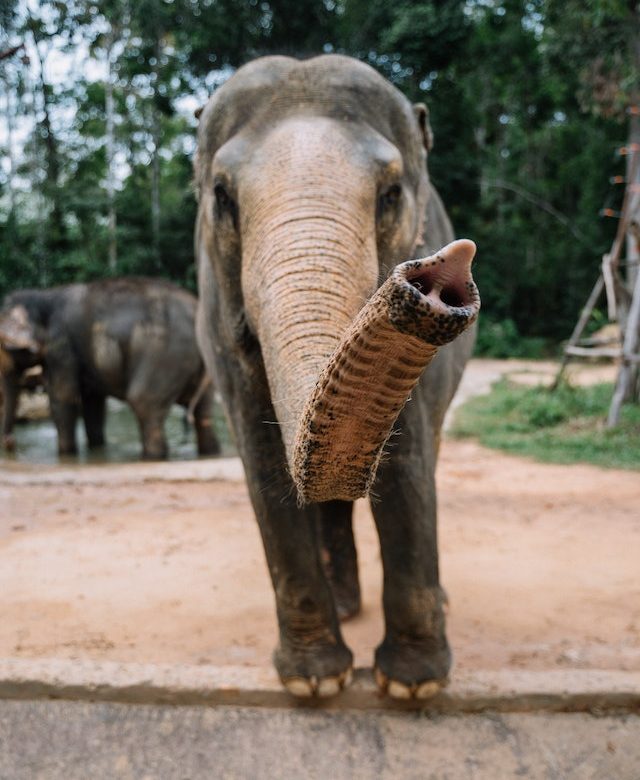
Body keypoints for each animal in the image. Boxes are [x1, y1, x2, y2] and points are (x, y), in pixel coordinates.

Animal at [0, 277, 220, 459]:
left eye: (6, 347)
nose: (11, 441)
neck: (43, 295)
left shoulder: (60, 347)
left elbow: (63, 398)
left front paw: (66, 455)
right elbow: (93, 403)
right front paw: (96, 448)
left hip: (164, 356)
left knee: (143, 402)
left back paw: (151, 457)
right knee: (204, 414)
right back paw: (210, 452)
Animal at [194, 55, 480, 699]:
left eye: (391, 194)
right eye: (221, 196)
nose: (443, 268)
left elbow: (406, 464)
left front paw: (410, 687)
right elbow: (263, 463)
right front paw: (315, 683)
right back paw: (346, 609)